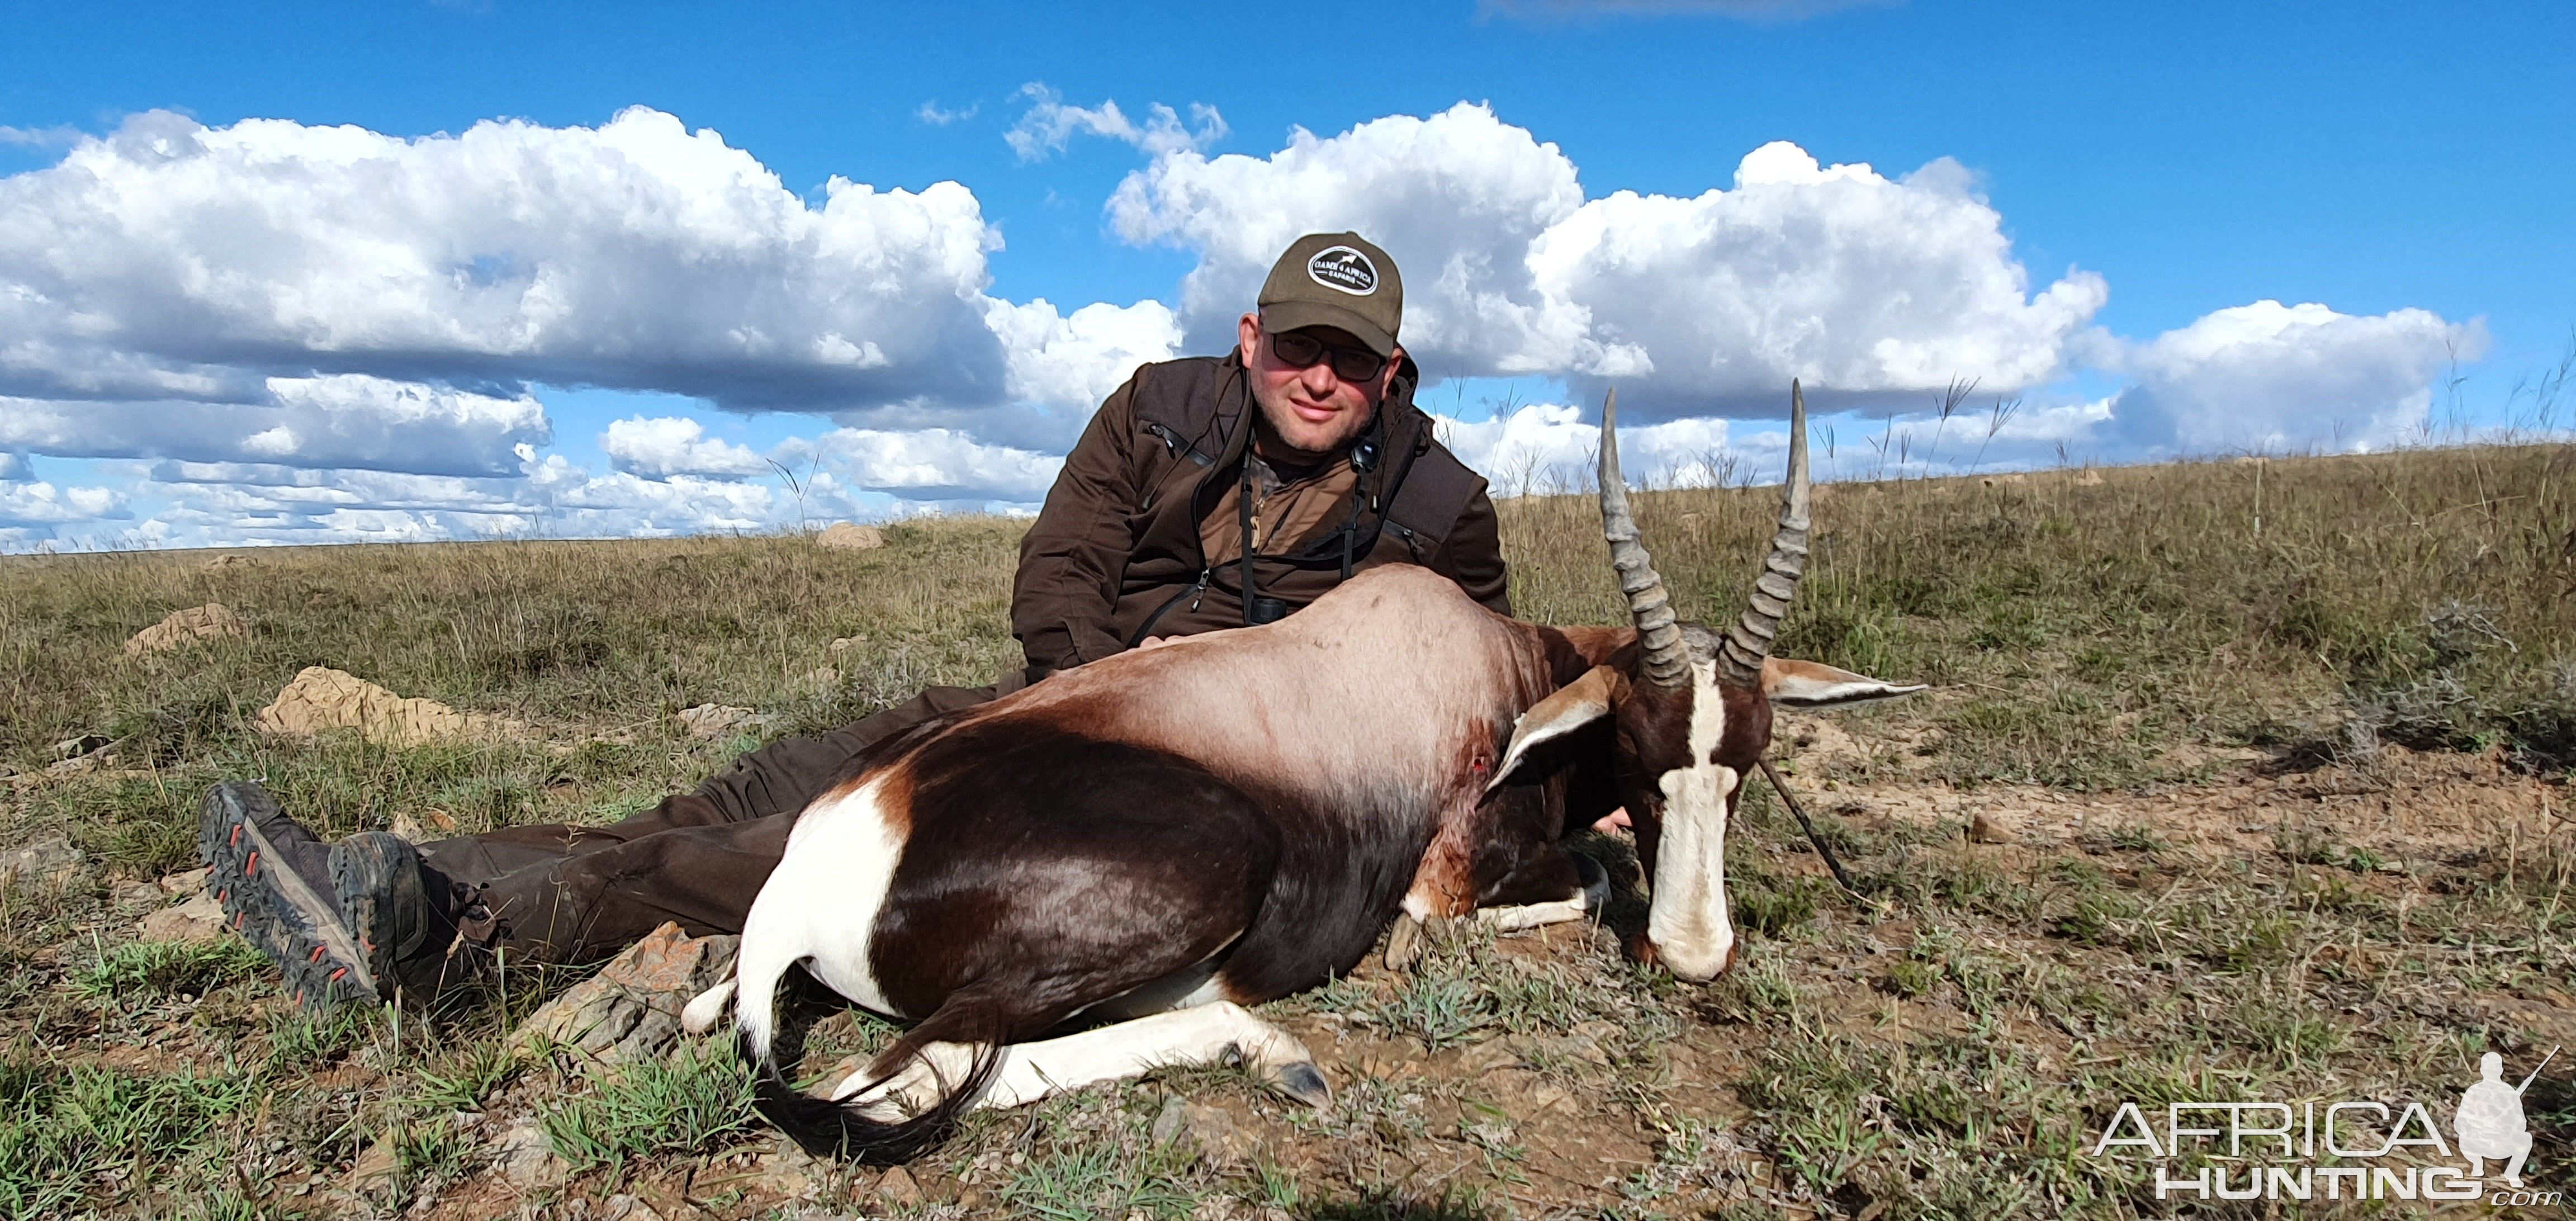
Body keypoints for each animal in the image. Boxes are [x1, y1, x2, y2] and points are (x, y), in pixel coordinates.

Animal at [705, 384, 1916, 1164]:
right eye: (1637, 748)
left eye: (1746, 759)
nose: (1695, 954)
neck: (1491, 661)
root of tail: (847, 838)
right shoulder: (1451, 873)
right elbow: (1580, 881)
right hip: (1203, 877)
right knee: (896, 1079)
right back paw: (1272, 1049)